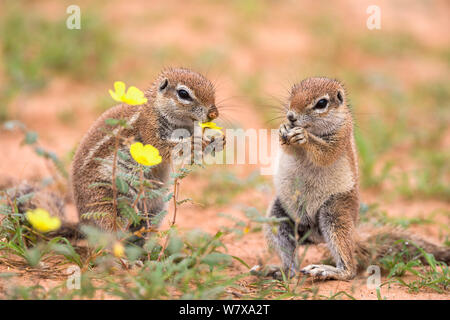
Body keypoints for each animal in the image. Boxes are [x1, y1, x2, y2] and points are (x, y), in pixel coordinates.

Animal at [71, 68, 223, 235]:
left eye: (211, 88)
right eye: (183, 94)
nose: (214, 113)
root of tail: (83, 222)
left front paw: (216, 142)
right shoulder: (149, 127)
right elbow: (164, 148)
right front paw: (194, 142)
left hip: (156, 208)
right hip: (109, 202)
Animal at [264, 77, 450, 280]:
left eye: (321, 103)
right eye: (292, 93)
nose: (291, 116)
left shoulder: (341, 136)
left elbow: (325, 154)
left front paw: (303, 136)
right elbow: (287, 148)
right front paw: (283, 128)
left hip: (335, 213)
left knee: (350, 269)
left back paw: (328, 270)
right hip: (278, 215)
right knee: (290, 258)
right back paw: (280, 270)